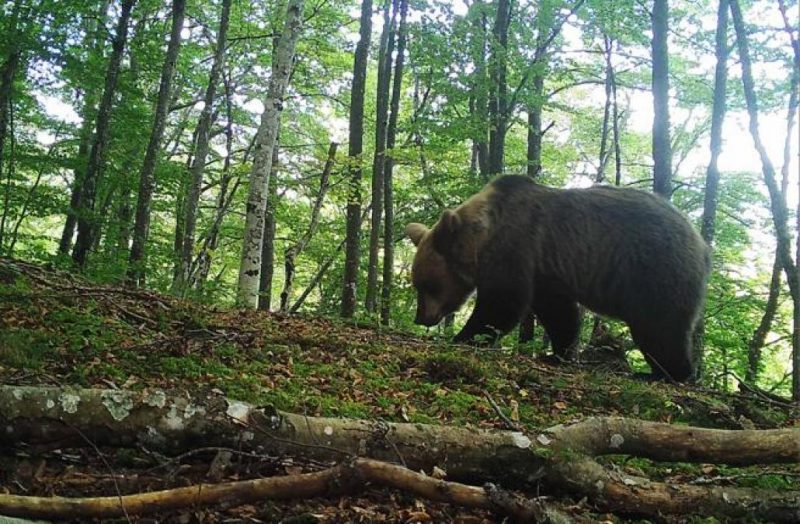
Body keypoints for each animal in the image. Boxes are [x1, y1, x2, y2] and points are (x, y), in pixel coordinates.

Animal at [405, 175, 710, 382]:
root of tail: (701, 243)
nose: (421, 317)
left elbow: (502, 303)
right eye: (417, 283)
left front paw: (464, 336)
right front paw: (557, 353)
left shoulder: (516, 246)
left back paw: (666, 373)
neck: (483, 237)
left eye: (428, 284)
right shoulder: (547, 271)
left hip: (656, 269)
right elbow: (558, 312)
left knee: (660, 327)